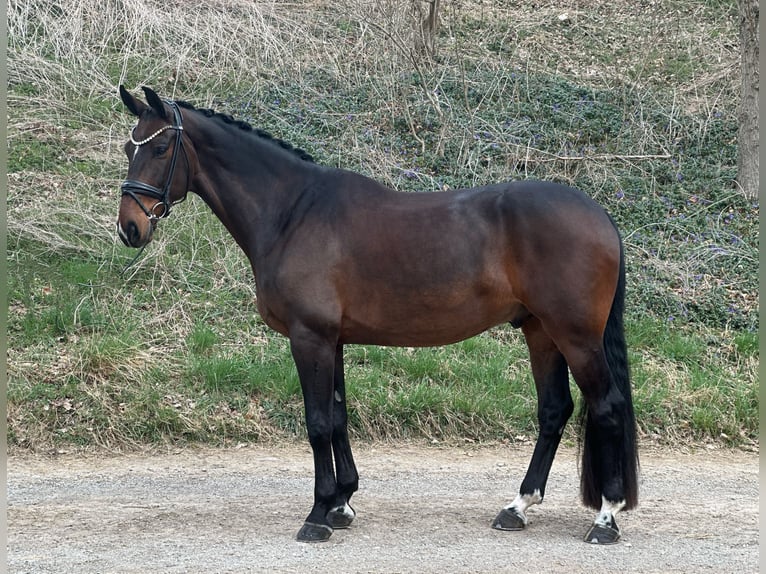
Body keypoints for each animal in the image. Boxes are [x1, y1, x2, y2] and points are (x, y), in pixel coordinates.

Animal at [116, 85, 638, 544]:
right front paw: (342, 504)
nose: (129, 227)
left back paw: (606, 518)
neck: (292, 213)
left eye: (160, 146)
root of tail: (600, 215)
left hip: (575, 336)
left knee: (607, 406)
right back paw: (518, 507)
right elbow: (338, 416)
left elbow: (317, 422)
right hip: (540, 332)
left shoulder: (309, 338)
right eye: (128, 146)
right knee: (555, 410)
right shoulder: (333, 340)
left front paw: (317, 515)